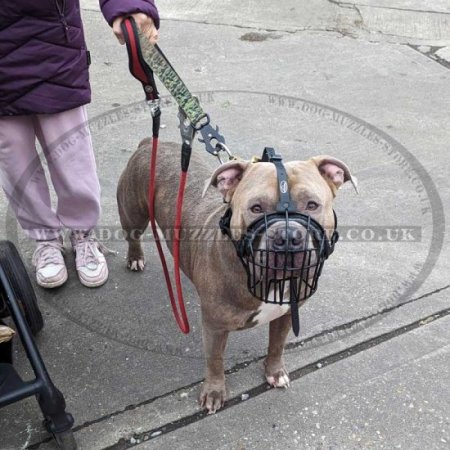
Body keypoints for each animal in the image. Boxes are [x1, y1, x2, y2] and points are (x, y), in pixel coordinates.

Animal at [118, 139, 356, 414]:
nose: (287, 237)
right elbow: (215, 360)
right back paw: (135, 257)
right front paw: (214, 392)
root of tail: (150, 143)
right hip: (133, 214)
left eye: (312, 205)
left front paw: (275, 372)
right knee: (133, 235)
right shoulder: (214, 326)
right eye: (256, 208)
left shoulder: (285, 314)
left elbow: (277, 344)